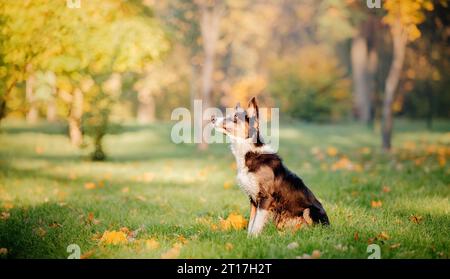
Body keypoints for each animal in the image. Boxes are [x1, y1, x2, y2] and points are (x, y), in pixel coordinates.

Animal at [211, 97, 330, 237]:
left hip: (309, 211)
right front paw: (248, 238)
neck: (250, 152)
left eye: (235, 117)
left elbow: (256, 223)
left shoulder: (265, 197)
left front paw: (253, 238)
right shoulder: (253, 199)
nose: (212, 118)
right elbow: (251, 222)